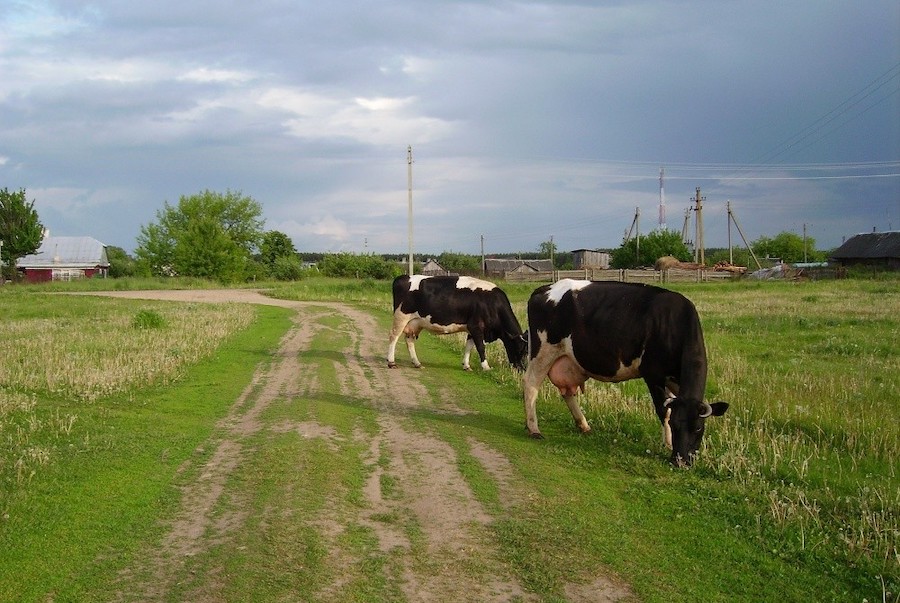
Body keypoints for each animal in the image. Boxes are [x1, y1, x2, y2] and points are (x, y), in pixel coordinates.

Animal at [386, 274, 528, 370]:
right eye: (520, 349)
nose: (522, 369)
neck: (492, 303)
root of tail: (403, 277)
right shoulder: (476, 326)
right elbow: (481, 347)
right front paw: (486, 367)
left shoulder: (471, 328)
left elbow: (469, 346)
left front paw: (466, 365)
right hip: (401, 317)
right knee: (393, 337)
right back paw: (391, 362)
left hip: (415, 323)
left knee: (409, 340)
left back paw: (417, 363)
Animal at [524, 278, 728, 468]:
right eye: (674, 425)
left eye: (698, 428)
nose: (681, 461)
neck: (675, 323)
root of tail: (545, 288)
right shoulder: (653, 375)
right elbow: (663, 411)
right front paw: (668, 444)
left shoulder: (674, 381)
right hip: (543, 352)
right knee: (531, 385)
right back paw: (534, 428)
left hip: (567, 359)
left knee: (567, 392)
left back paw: (584, 425)